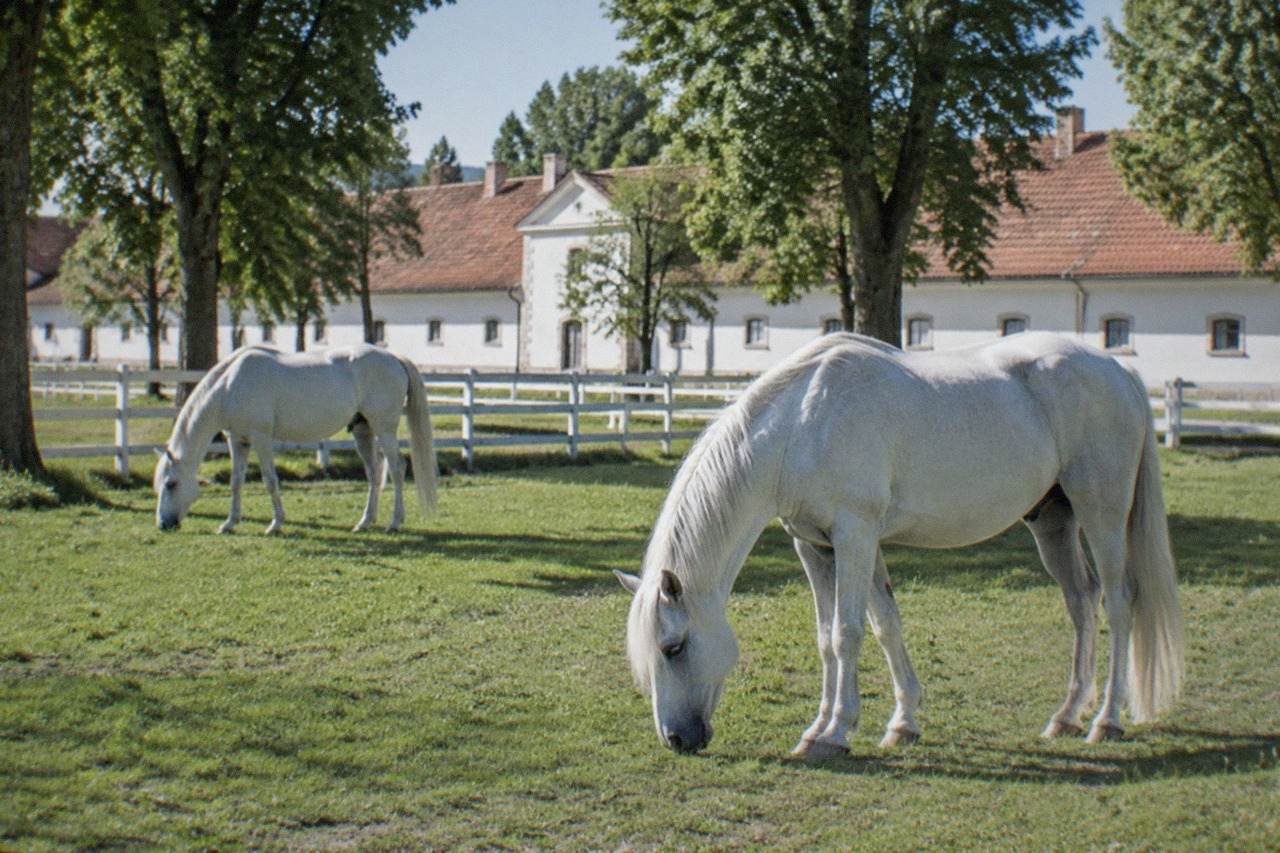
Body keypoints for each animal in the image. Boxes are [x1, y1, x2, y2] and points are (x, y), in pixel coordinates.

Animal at [154, 344, 437, 535]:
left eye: (171, 483)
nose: (163, 524)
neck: (229, 385)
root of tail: (394, 358)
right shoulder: (238, 440)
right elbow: (236, 482)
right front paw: (229, 523)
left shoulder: (260, 438)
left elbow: (270, 480)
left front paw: (275, 524)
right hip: (362, 430)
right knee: (375, 472)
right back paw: (364, 522)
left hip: (384, 429)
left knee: (397, 468)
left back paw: (394, 522)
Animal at [616, 332, 1184, 758]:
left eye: (673, 647)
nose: (677, 739)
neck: (802, 423)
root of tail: (1120, 372)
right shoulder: (817, 546)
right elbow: (859, 630)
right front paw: (891, 724)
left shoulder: (855, 535)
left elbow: (847, 633)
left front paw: (834, 735)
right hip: (1053, 523)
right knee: (1082, 602)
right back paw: (1065, 717)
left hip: (1102, 512)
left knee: (1119, 602)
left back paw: (1106, 720)